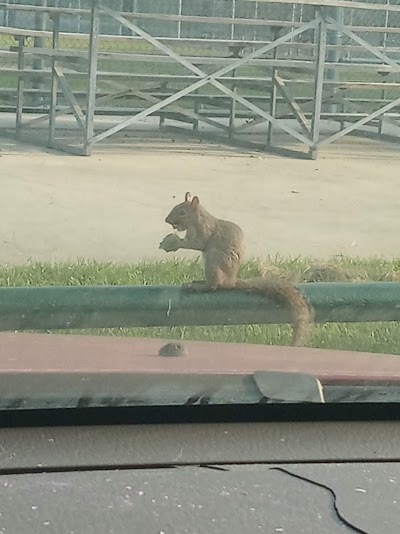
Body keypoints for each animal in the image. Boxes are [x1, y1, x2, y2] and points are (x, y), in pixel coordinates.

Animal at [160, 193, 316, 348]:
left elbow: (199, 243)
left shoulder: (205, 230)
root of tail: (232, 280)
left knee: (215, 285)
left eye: (182, 212)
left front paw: (176, 243)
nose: (167, 220)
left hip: (213, 260)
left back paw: (199, 286)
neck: (196, 220)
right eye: (175, 207)